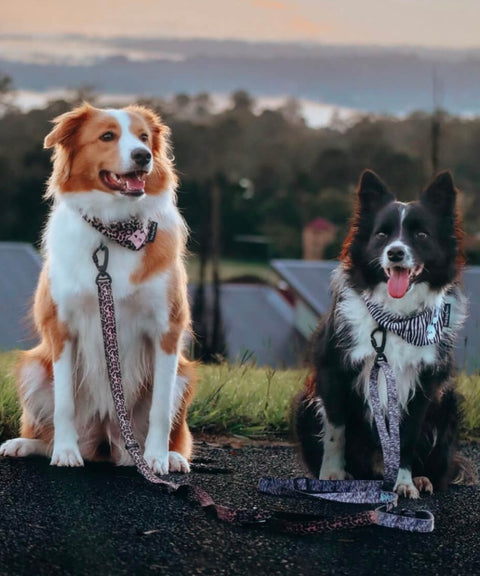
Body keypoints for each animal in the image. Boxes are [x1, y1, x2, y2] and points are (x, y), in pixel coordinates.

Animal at [0, 102, 195, 472]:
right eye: (107, 136)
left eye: (144, 137)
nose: (143, 156)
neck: (113, 229)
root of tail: (107, 440)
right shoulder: (62, 329)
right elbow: (64, 403)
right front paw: (65, 452)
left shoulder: (167, 330)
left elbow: (161, 408)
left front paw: (158, 458)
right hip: (33, 367)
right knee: (45, 432)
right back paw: (26, 444)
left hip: (183, 375)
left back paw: (169, 457)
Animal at [294, 169, 474, 498]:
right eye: (382, 235)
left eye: (421, 235)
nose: (395, 253)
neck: (394, 317)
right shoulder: (333, 368)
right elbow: (336, 429)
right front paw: (332, 474)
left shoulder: (423, 383)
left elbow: (408, 437)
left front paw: (404, 482)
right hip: (305, 403)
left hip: (449, 404)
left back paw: (422, 478)